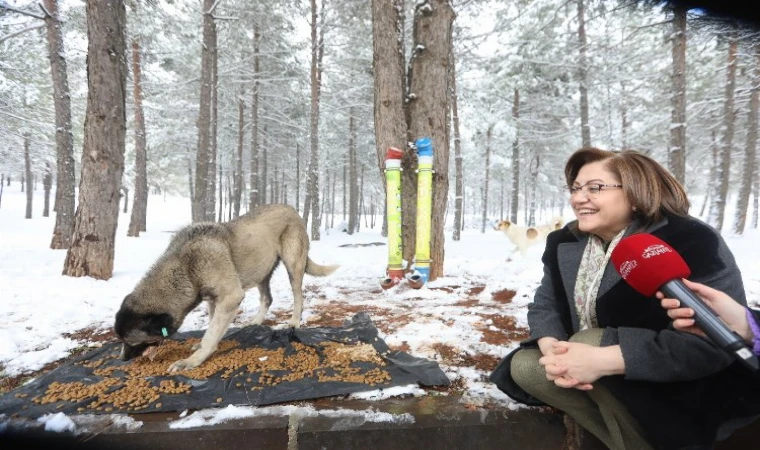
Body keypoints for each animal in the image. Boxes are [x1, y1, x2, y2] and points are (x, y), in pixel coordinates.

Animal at [113, 204, 338, 372]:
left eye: (130, 341)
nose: (122, 359)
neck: (185, 267)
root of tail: (292, 209)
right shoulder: (214, 300)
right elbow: (213, 326)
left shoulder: (230, 297)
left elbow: (211, 334)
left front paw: (192, 360)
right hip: (261, 271)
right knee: (267, 298)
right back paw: (255, 323)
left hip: (293, 266)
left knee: (298, 296)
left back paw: (294, 323)